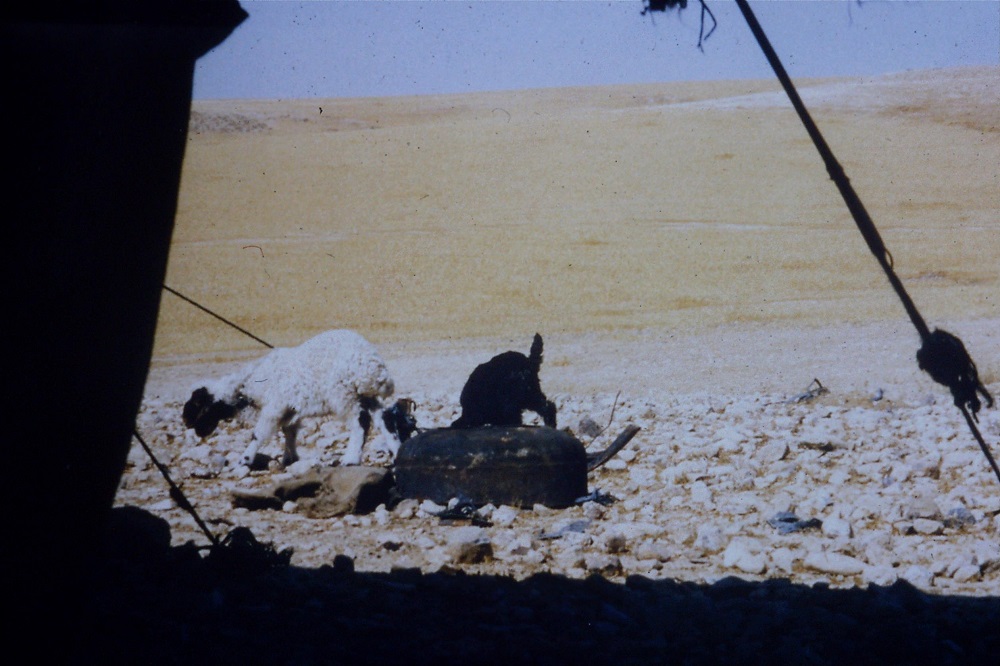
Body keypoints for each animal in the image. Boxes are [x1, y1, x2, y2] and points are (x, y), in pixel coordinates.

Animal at [184, 328, 406, 464]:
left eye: (197, 404)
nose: (187, 422)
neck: (249, 383)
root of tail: (374, 367)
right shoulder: (289, 410)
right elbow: (289, 432)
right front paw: (289, 459)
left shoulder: (274, 407)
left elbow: (259, 434)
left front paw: (245, 460)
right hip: (365, 395)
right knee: (384, 418)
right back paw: (397, 453)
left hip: (343, 394)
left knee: (361, 422)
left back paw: (351, 459)